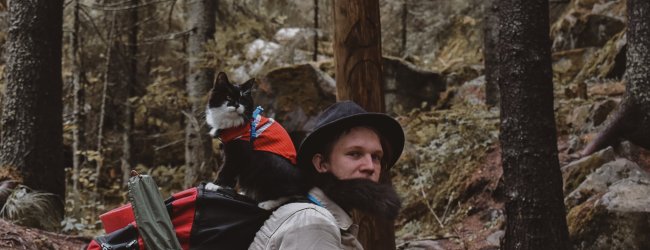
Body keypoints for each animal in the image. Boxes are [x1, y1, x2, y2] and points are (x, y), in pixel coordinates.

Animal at [204, 72, 306, 205]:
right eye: (228, 97)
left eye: (242, 98)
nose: (237, 105)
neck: (232, 124)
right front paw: (227, 187)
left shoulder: (238, 152)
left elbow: (226, 169)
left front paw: (215, 185)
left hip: (267, 160)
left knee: (289, 194)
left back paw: (267, 203)